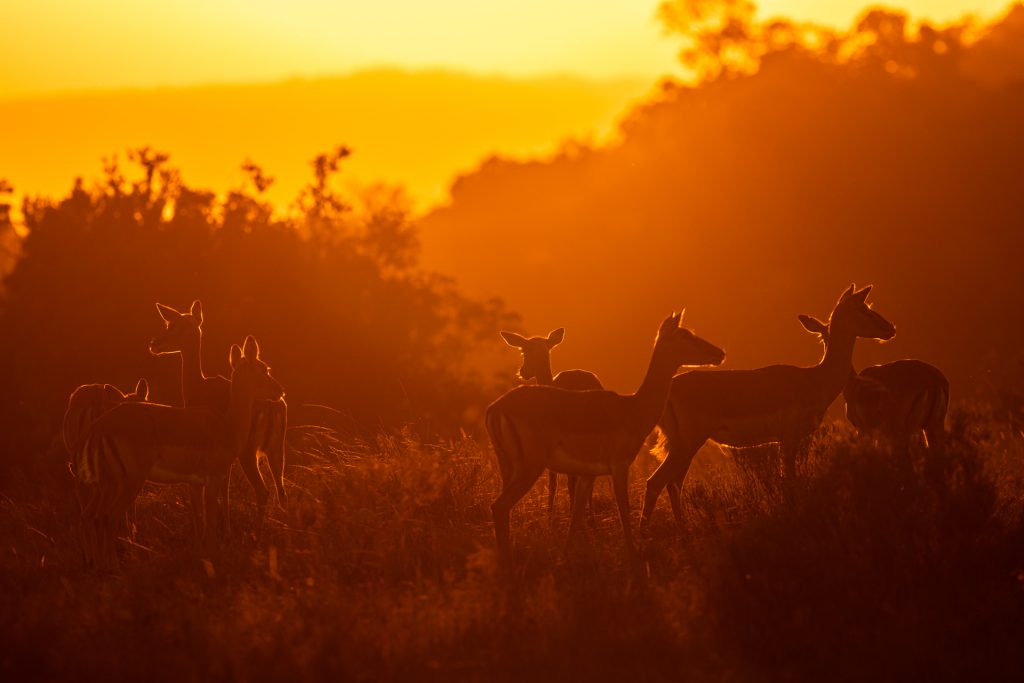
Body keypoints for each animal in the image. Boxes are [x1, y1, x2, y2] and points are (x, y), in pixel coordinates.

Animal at [75, 336, 284, 570]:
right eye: (263, 368)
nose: (280, 391)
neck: (227, 425)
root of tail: (98, 426)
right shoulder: (213, 479)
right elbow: (211, 520)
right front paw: (212, 556)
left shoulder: (195, 483)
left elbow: (200, 517)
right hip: (128, 483)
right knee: (108, 517)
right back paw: (113, 566)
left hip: (106, 485)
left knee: (91, 516)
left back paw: (97, 564)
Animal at [149, 301, 288, 525]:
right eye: (169, 323)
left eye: (175, 325)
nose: (155, 343)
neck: (197, 387)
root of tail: (274, 406)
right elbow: (225, 491)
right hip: (277, 451)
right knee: (282, 492)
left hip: (249, 453)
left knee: (263, 491)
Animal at [641, 285, 895, 529]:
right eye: (863, 308)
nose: (890, 328)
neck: (815, 379)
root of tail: (670, 389)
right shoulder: (790, 438)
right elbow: (789, 480)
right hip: (687, 443)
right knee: (656, 482)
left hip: (686, 446)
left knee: (673, 483)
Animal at [798, 316, 949, 457]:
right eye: (822, 335)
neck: (852, 386)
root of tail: (933, 381)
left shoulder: (863, 427)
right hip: (933, 425)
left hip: (901, 428)